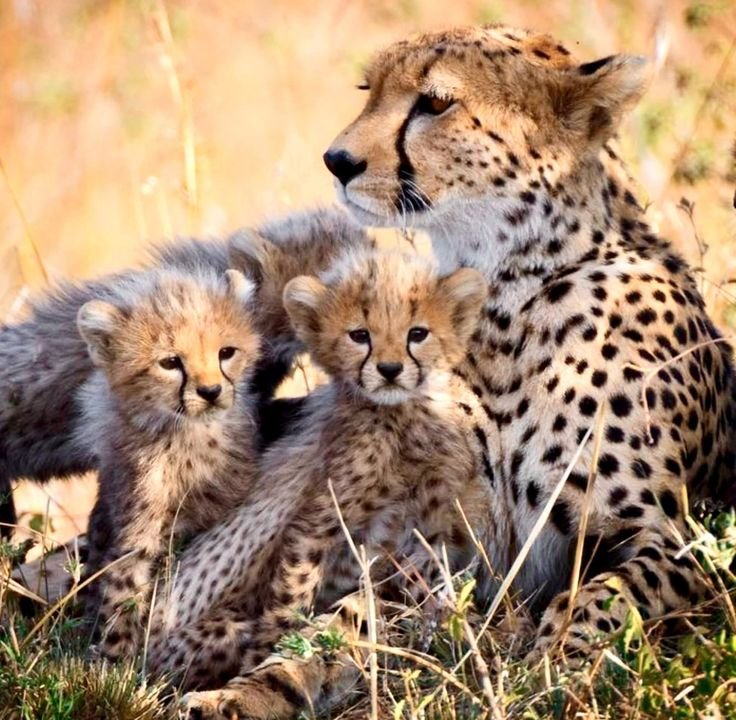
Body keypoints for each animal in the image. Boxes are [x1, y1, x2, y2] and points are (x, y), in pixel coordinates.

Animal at [145, 250, 489, 716]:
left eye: (417, 333)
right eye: (360, 335)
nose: (390, 369)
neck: (398, 420)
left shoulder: (430, 530)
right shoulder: (318, 521)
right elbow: (292, 600)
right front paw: (270, 655)